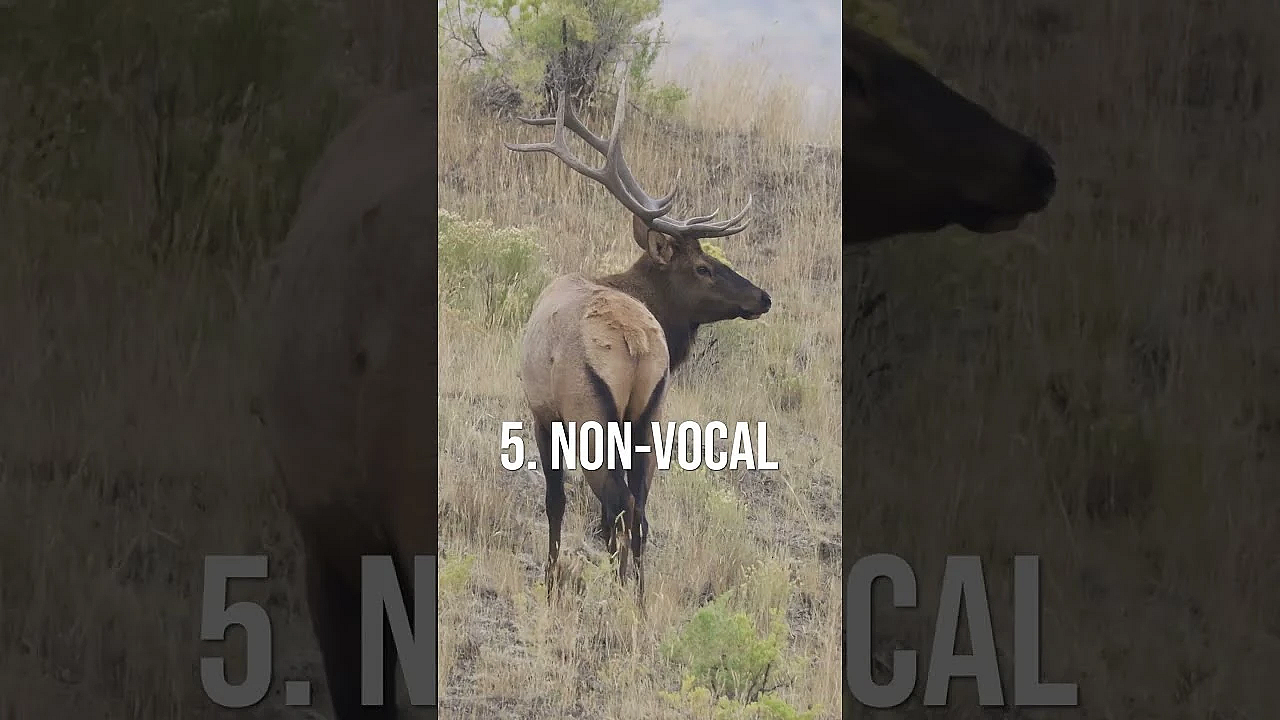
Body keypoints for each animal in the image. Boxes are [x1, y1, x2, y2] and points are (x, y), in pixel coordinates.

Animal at [504, 67, 773, 606]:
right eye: (704, 267)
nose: (763, 297)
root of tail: (636, 343)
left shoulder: (543, 411)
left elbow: (554, 499)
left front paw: (550, 580)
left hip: (591, 414)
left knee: (616, 502)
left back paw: (617, 591)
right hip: (650, 415)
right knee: (641, 507)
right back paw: (639, 597)